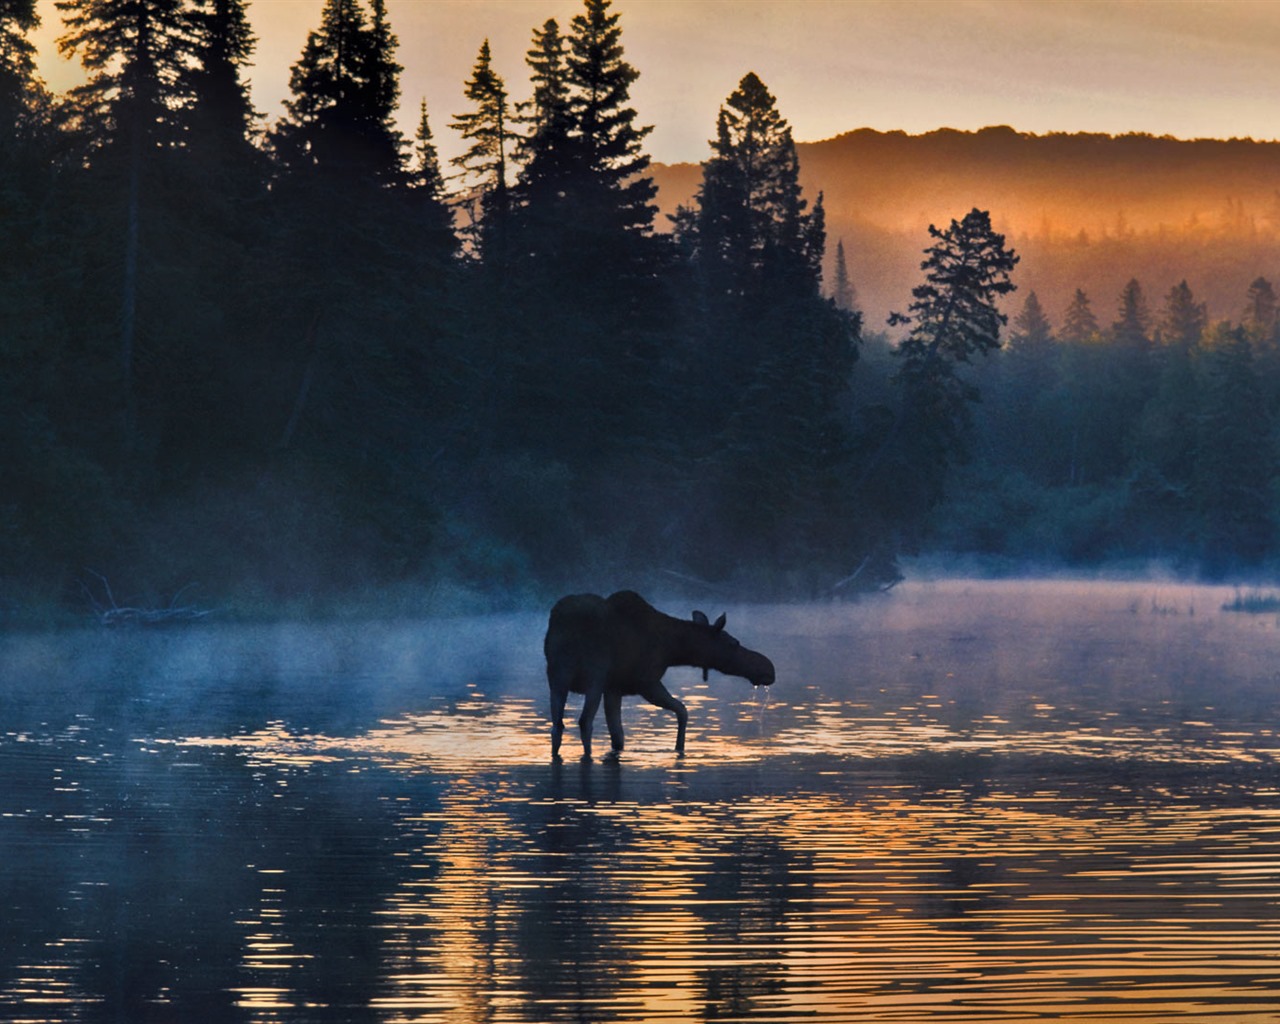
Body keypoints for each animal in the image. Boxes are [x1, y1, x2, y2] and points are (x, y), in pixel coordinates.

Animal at [542, 591, 773, 757]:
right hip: (593, 677)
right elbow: (683, 710)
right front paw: (679, 747)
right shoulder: (646, 683)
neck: (673, 649)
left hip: (557, 676)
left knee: (557, 726)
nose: (768, 669)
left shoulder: (614, 688)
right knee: (584, 722)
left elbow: (618, 736)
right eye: (734, 643)